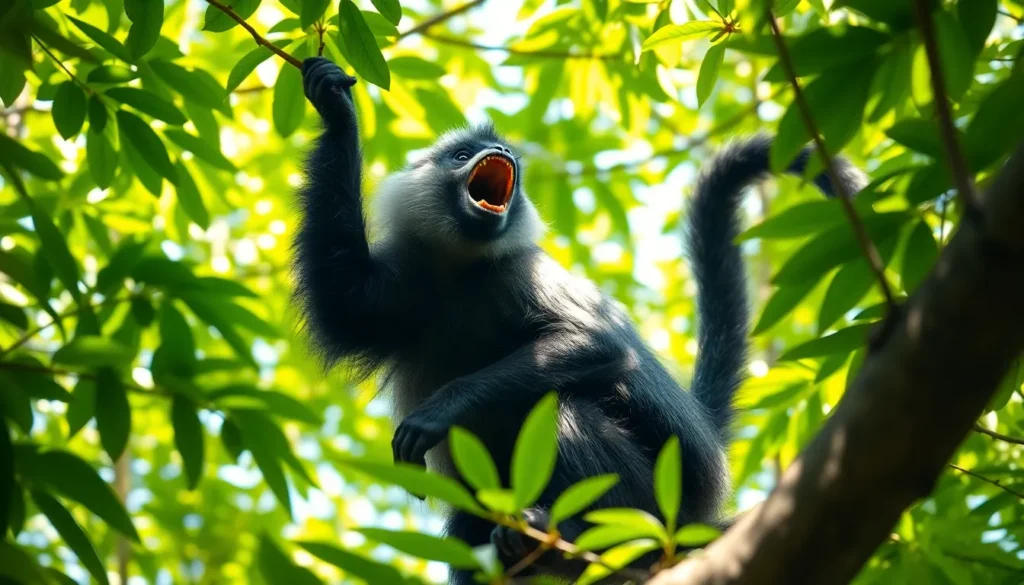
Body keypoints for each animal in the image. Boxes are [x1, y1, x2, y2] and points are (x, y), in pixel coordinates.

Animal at [293, 57, 867, 584]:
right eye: (460, 154)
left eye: (507, 158)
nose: (502, 154)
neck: (460, 272)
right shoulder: (405, 288)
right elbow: (342, 306)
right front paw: (336, 110)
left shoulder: (520, 269)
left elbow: (602, 345)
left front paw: (439, 412)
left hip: (658, 498)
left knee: (566, 407)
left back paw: (569, 537)